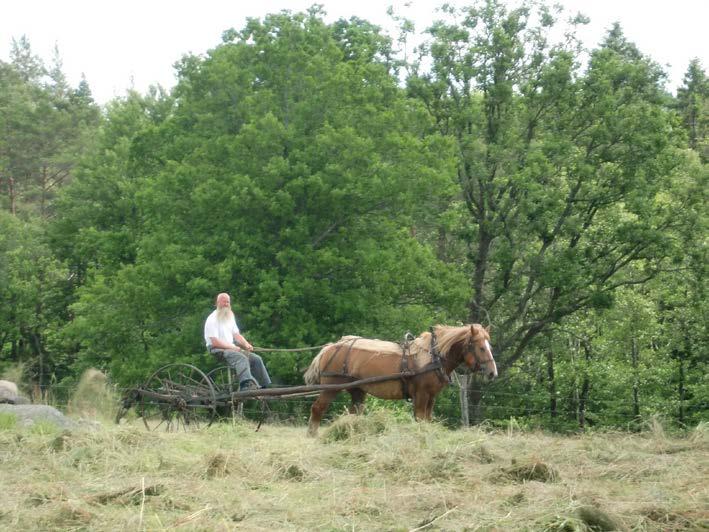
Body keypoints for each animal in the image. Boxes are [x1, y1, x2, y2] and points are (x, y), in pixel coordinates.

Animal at [304, 324, 498, 436]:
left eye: (489, 346)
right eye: (481, 348)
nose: (493, 373)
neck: (432, 356)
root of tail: (330, 347)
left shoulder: (431, 396)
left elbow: (427, 419)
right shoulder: (421, 395)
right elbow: (419, 418)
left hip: (357, 390)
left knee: (354, 413)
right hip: (331, 386)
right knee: (317, 408)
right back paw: (312, 435)